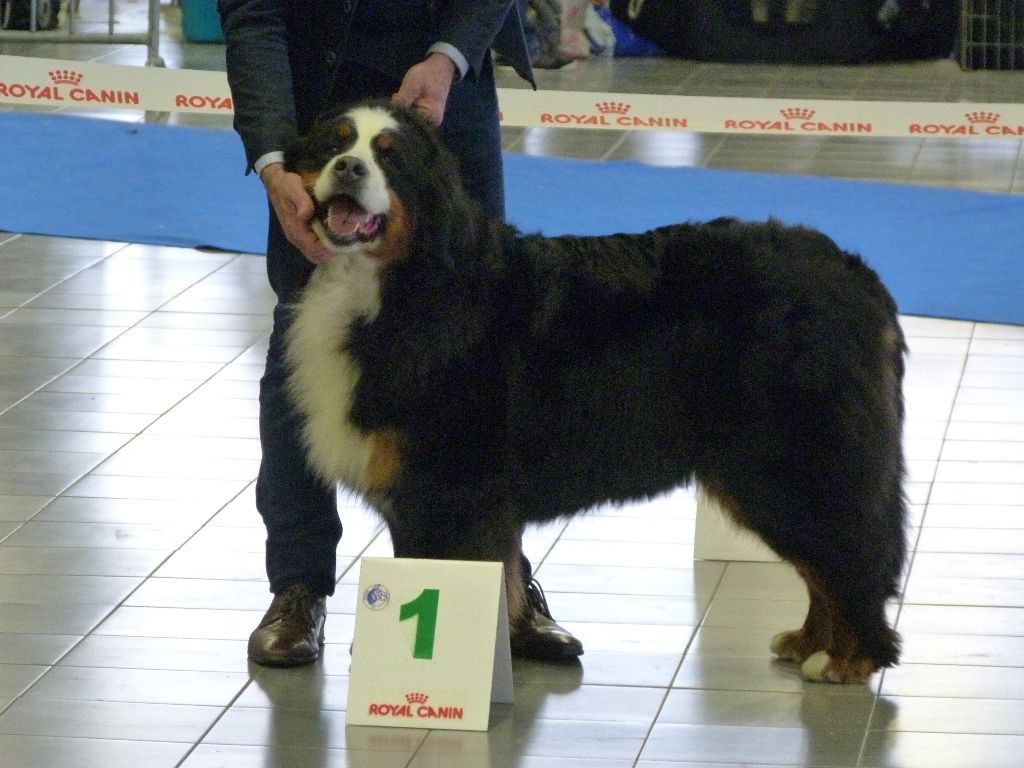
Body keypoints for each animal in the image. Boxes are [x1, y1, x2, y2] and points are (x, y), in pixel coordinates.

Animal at [284, 100, 909, 684]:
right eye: (335, 143)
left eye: (389, 157)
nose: (349, 167)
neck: (400, 285)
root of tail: (858, 277)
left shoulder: (451, 489)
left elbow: (451, 581)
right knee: (824, 565)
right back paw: (808, 642)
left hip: (789, 464)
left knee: (851, 554)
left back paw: (847, 659)